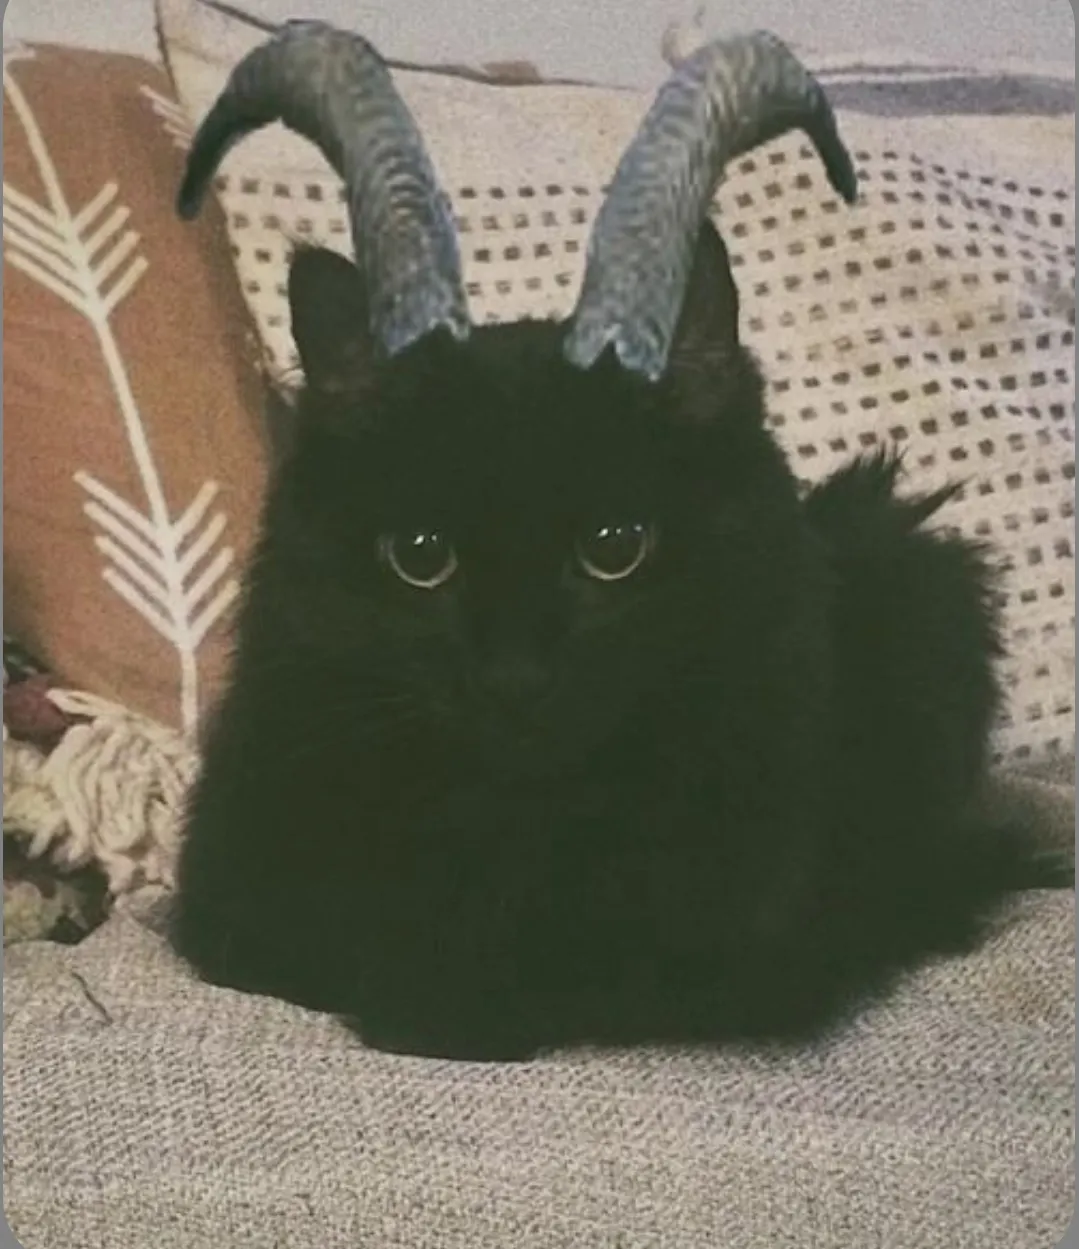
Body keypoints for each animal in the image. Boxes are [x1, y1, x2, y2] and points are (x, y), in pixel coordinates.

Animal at [170, 226, 1072, 1061]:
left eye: (615, 546)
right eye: (421, 557)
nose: (512, 679)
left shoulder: (739, 939)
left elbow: (581, 960)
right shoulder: (231, 903)